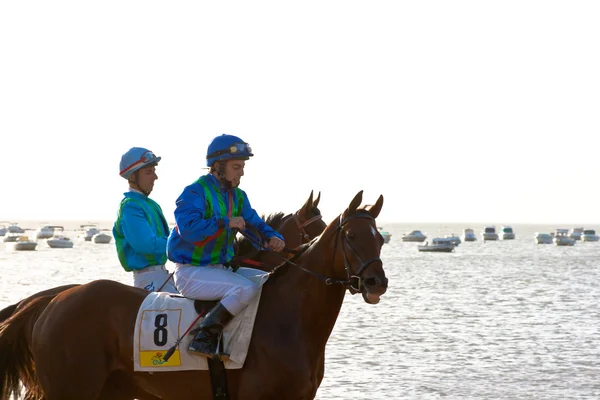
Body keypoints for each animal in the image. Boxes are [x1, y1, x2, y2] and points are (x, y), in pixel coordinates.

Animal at [2, 191, 386, 400]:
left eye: (380, 238)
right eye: (350, 235)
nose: (376, 282)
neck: (287, 320)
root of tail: (51, 302)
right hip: (71, 388)